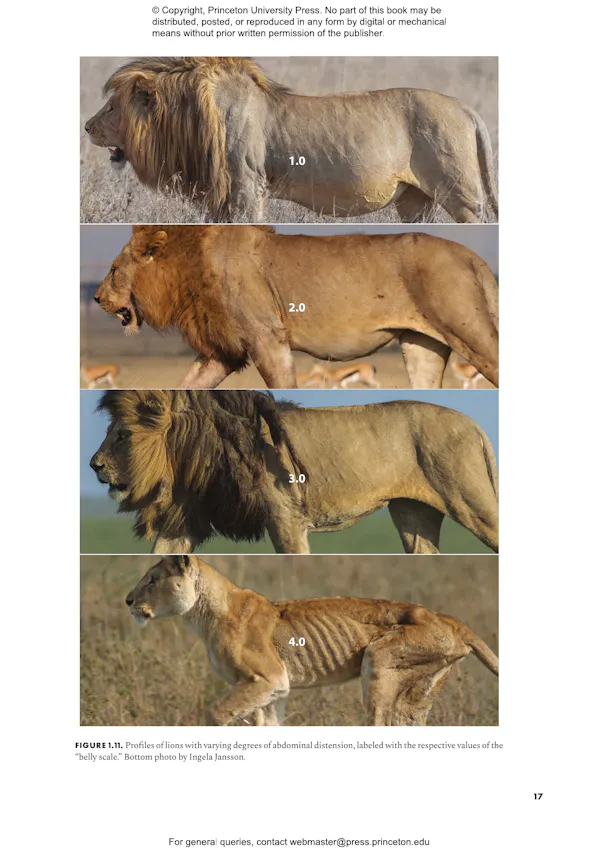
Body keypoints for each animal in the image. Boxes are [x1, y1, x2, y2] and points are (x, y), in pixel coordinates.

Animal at [84, 57, 498, 223]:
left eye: (111, 107)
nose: (87, 127)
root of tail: (465, 107)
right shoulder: (222, 195)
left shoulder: (247, 186)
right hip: (416, 202)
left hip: (461, 196)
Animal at [89, 390, 499, 555]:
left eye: (123, 435)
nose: (94, 465)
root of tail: (475, 425)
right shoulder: (184, 520)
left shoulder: (286, 517)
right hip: (414, 514)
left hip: (471, 502)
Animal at [92, 226, 498, 390]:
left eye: (112, 270)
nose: (95, 298)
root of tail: (472, 256)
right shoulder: (221, 352)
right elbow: (187, 385)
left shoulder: (266, 337)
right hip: (422, 346)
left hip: (471, 333)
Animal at [125, 555, 499, 726]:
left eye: (152, 580)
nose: (128, 600)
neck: (202, 614)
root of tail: (446, 618)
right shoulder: (269, 691)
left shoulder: (269, 679)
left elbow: (216, 713)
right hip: (419, 691)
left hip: (379, 659)